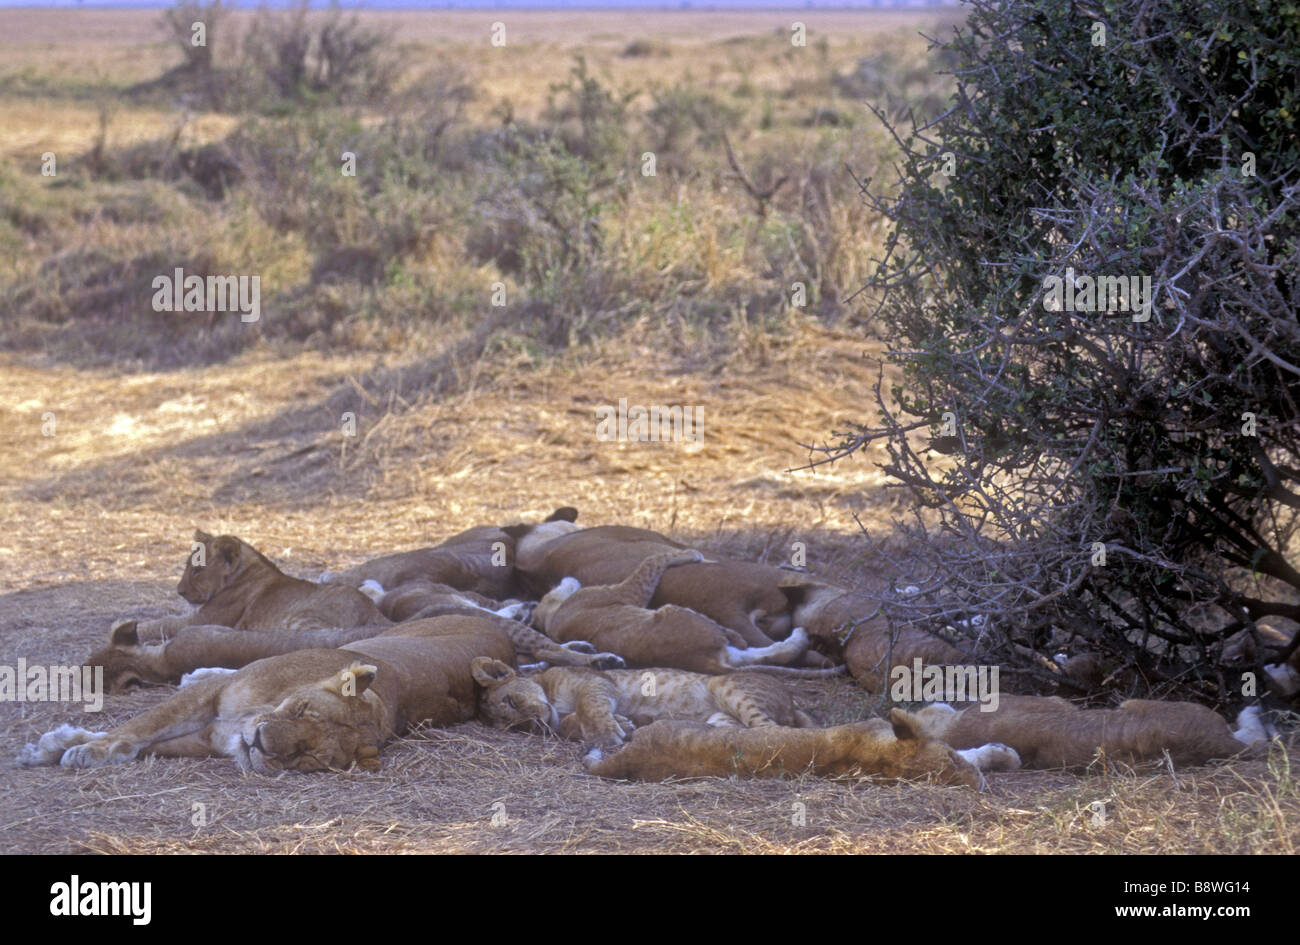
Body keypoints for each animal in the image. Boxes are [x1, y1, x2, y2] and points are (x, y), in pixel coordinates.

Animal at [471, 660, 816, 748]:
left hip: (725, 685)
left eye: (511, 701)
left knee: (773, 729)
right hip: (720, 719)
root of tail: (790, 701)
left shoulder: (596, 682)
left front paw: (606, 734)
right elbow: (571, 723)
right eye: (516, 728)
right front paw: (624, 724)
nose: (534, 724)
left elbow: (589, 705)